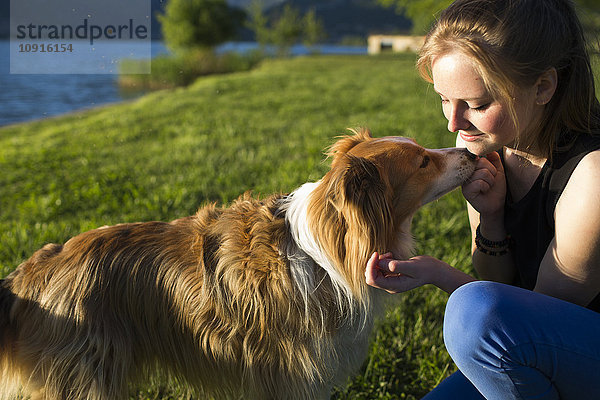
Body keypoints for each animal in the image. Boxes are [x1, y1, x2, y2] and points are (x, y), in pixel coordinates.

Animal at [0, 130, 478, 398]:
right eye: (422, 161)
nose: (472, 154)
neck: (324, 254)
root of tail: (31, 273)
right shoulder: (290, 375)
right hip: (83, 380)